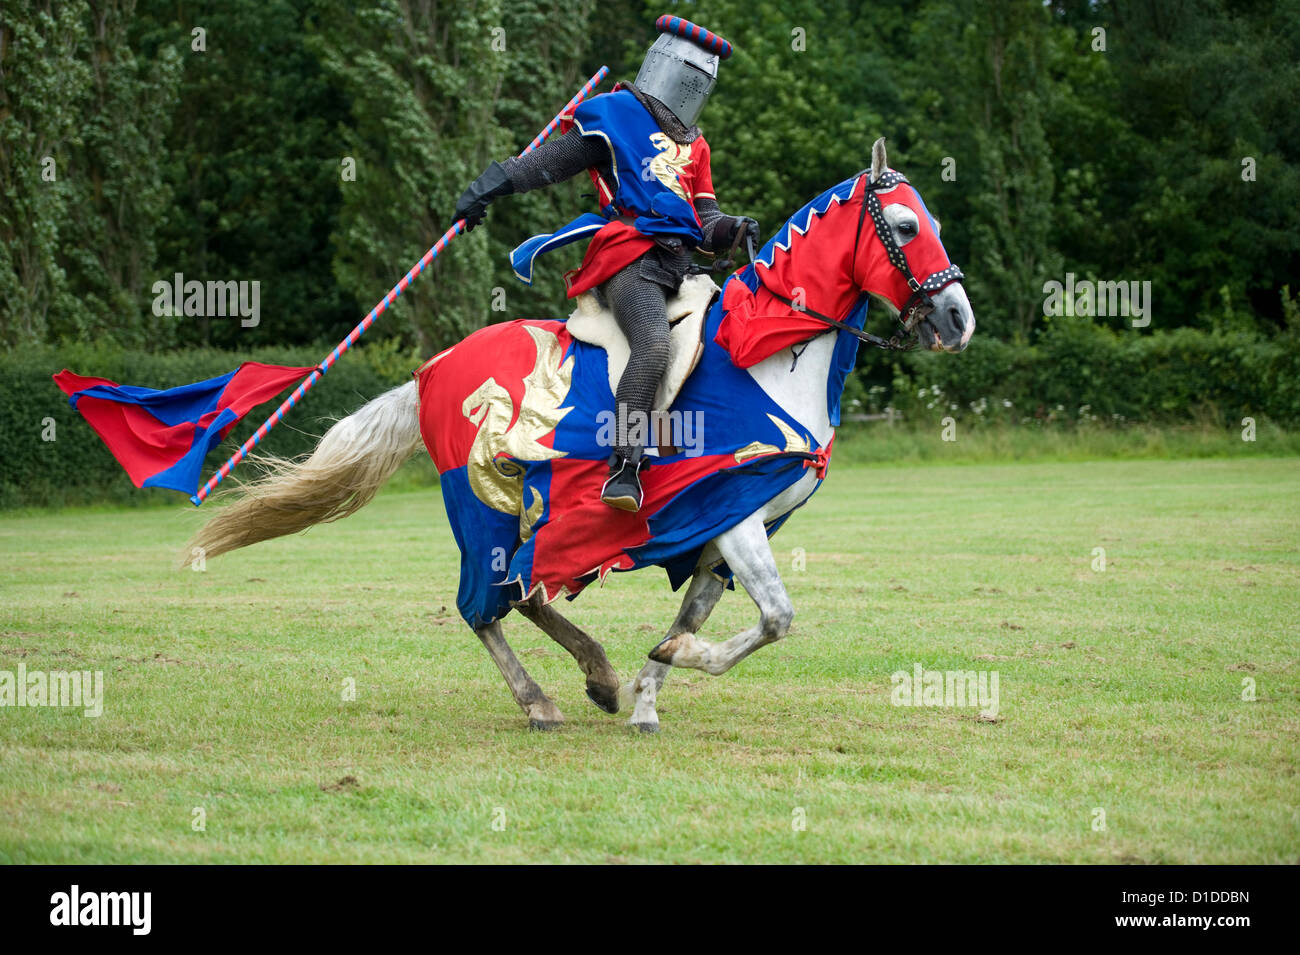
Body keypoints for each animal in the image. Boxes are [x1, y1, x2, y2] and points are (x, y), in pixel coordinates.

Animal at [185, 136, 977, 732]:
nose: (958, 319)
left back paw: (598, 676)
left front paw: (651, 691)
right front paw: (686, 658)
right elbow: (779, 618)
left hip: (529, 511)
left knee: (524, 591)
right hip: (481, 503)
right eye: (906, 226)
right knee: (485, 606)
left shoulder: (720, 534)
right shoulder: (735, 514)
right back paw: (539, 701)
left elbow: (696, 618)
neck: (764, 356)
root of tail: (432, 370)